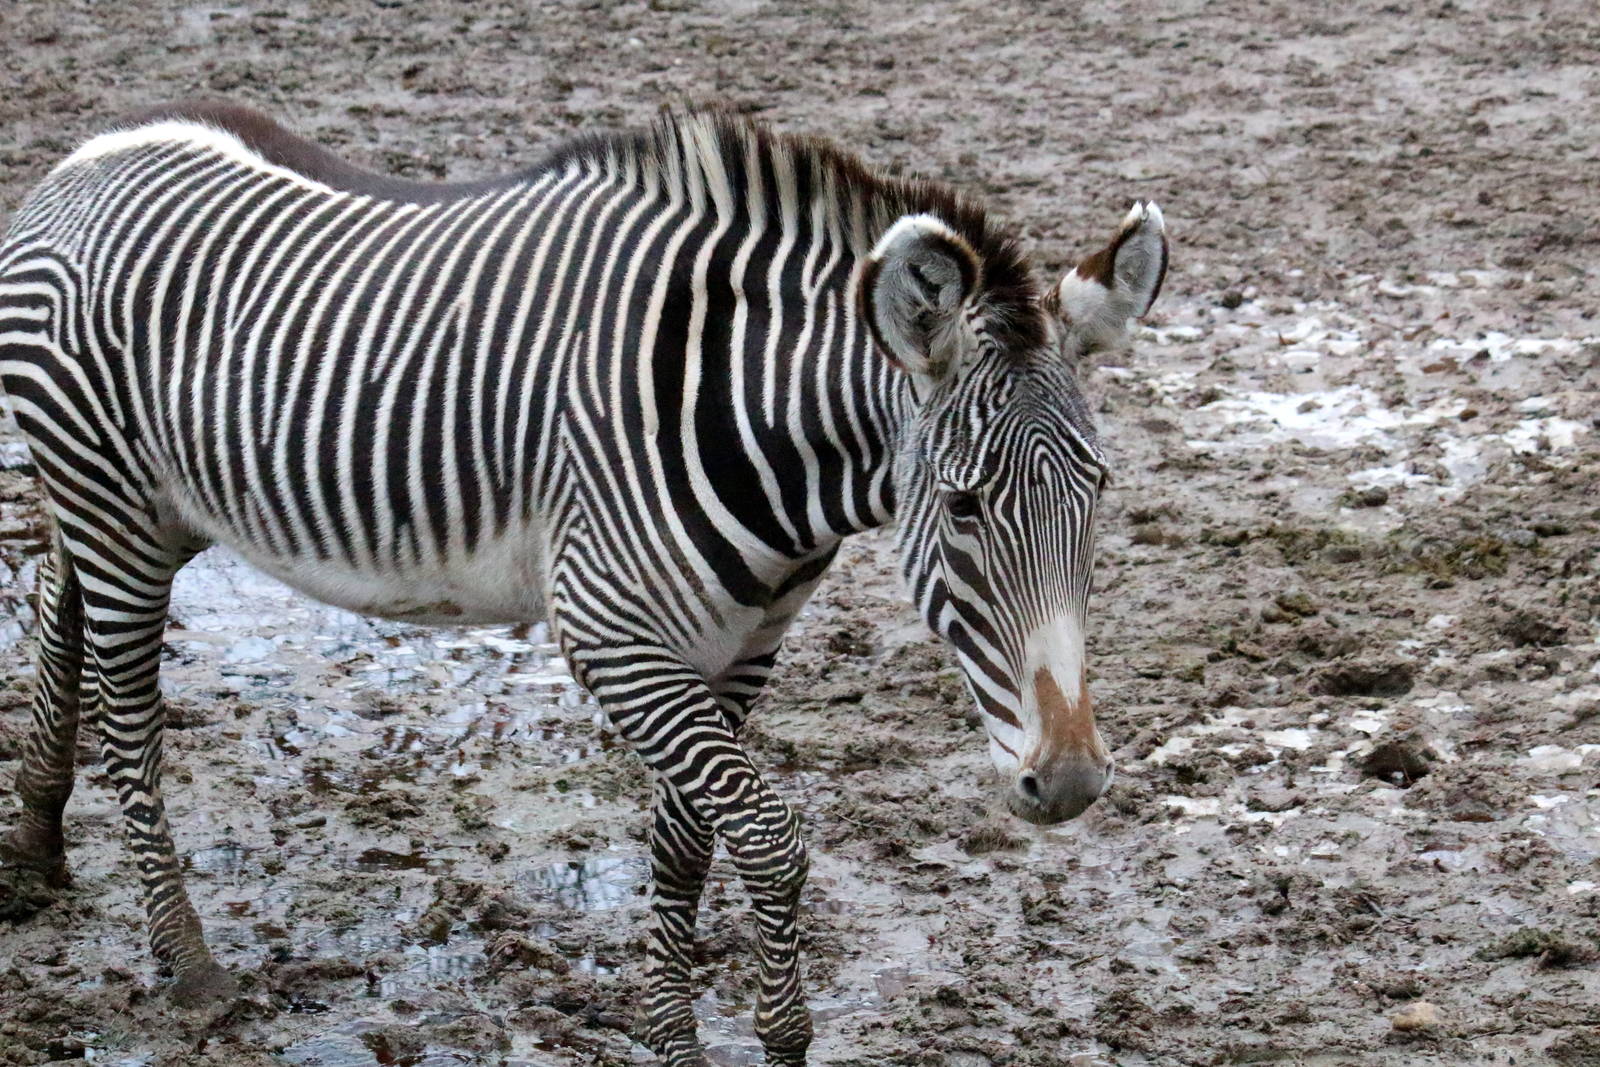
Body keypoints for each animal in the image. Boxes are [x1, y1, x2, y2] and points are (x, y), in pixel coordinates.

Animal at [0, 102, 1167, 1065]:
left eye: (1099, 490)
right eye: (965, 506)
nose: (1069, 783)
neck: (752, 424)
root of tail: (89, 154)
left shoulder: (743, 642)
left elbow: (687, 838)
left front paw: (670, 1032)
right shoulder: (613, 633)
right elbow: (767, 835)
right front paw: (777, 1038)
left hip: (136, 506)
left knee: (57, 605)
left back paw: (36, 845)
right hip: (113, 500)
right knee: (129, 719)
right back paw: (185, 961)